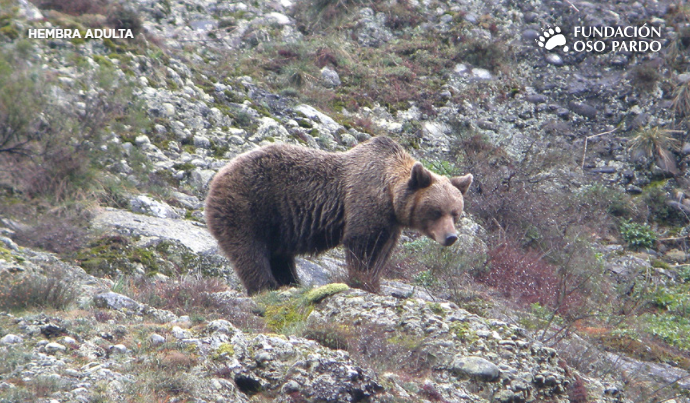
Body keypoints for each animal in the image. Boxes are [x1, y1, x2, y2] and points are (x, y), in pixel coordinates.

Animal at [205, 136, 472, 295]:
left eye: (455, 213)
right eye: (436, 211)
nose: (451, 237)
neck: (389, 194)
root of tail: (219, 174)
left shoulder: (390, 223)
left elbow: (383, 251)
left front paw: (375, 283)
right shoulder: (364, 202)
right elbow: (363, 244)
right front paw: (361, 280)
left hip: (277, 224)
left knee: (279, 256)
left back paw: (290, 282)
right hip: (249, 205)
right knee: (250, 250)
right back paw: (266, 286)